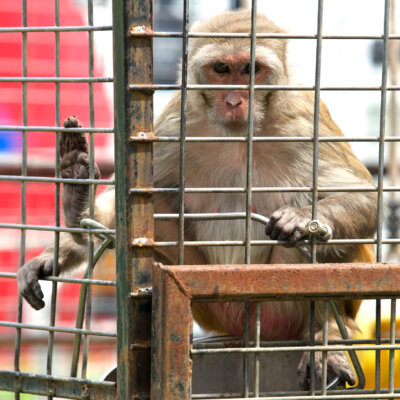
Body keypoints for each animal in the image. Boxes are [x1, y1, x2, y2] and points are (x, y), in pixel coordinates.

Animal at [17, 10, 376, 390]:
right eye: (221, 68)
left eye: (251, 69)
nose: (234, 100)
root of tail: (258, 336)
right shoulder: (177, 122)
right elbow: (127, 213)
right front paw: (58, 245)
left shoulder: (303, 117)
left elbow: (362, 197)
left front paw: (303, 219)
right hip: (212, 305)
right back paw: (78, 201)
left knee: (328, 247)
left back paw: (328, 335)